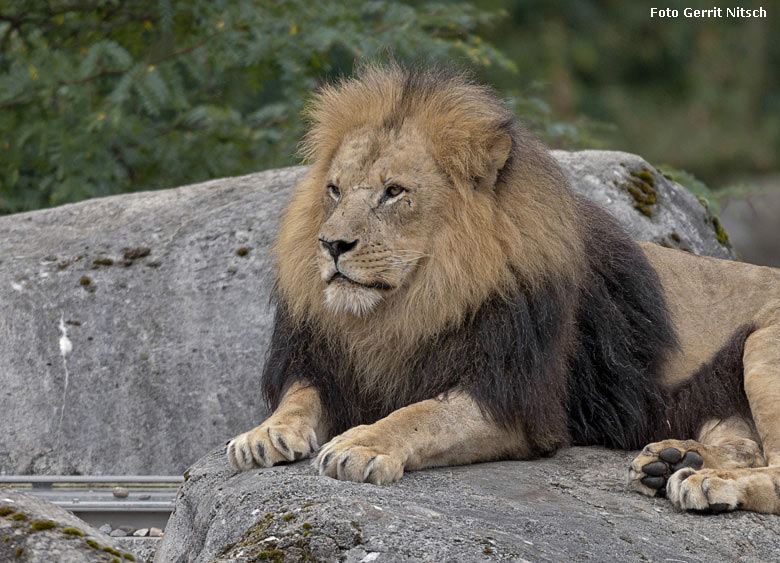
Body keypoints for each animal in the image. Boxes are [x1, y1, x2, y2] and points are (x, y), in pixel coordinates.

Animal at [224, 64, 780, 512]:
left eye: (394, 192)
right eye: (334, 190)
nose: (331, 244)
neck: (410, 306)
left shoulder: (515, 401)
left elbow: (421, 415)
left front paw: (363, 444)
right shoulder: (332, 365)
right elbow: (299, 396)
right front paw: (264, 432)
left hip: (761, 347)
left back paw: (705, 480)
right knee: (746, 446)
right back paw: (671, 459)